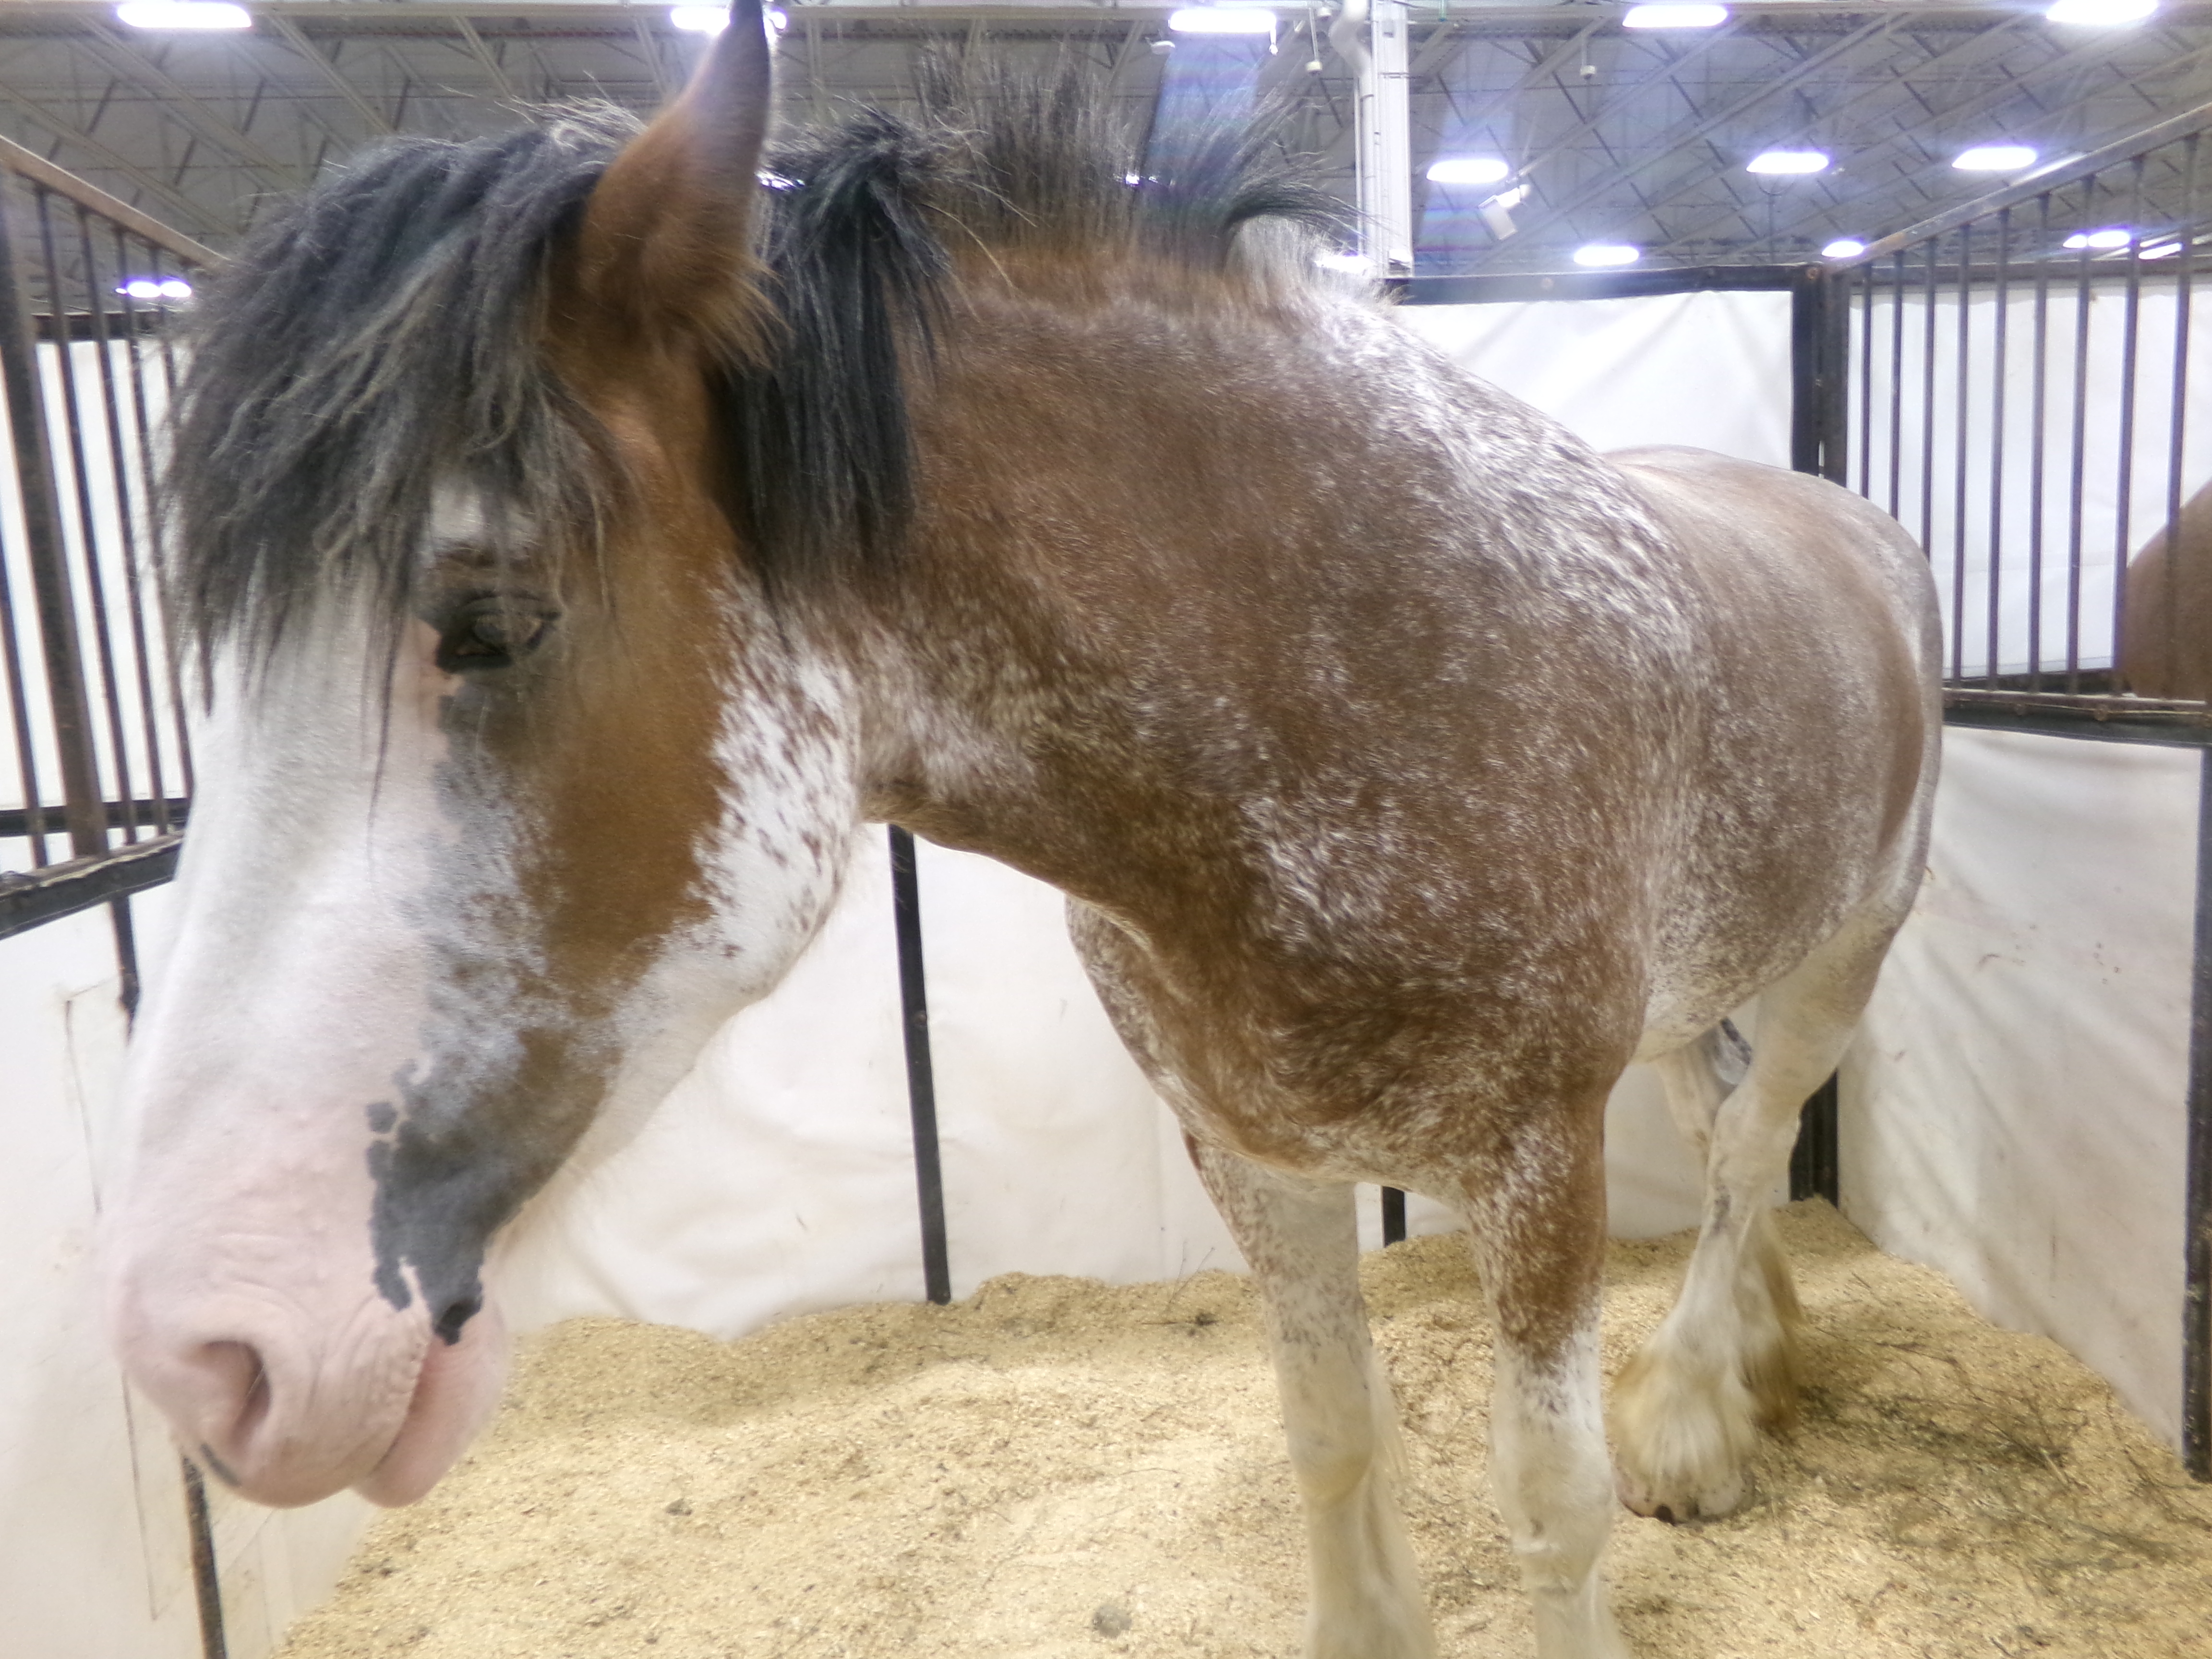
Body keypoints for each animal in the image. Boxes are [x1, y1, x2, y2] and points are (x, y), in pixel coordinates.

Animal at [104, 6, 1937, 1654]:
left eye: (488, 620)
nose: (206, 1350)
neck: (1363, 673)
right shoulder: (1251, 1153)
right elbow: (1332, 1438)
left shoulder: (1538, 1167)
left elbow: (1548, 1503)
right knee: (1717, 1128)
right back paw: (1753, 1346)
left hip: (1840, 962)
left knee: (1754, 1137)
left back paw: (1697, 1407)